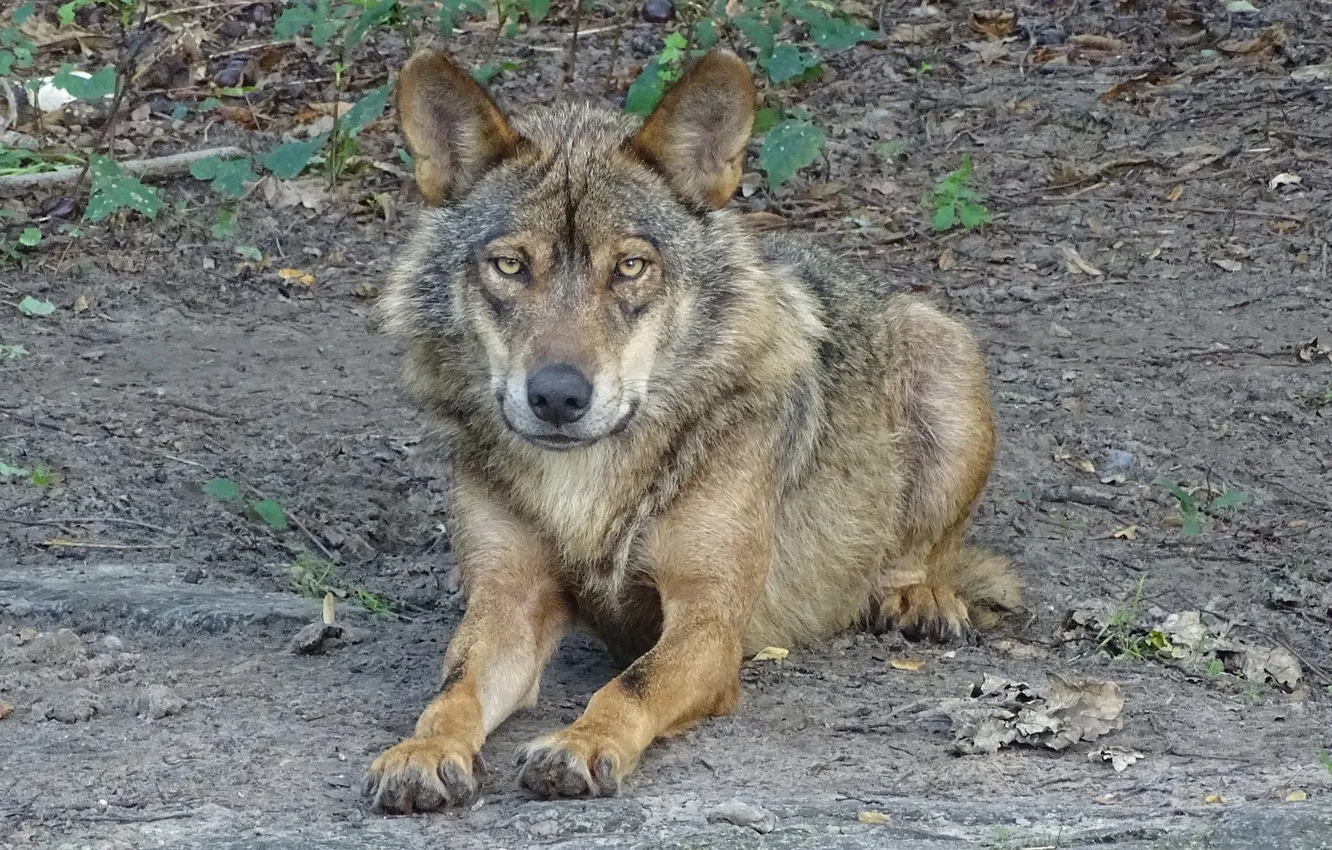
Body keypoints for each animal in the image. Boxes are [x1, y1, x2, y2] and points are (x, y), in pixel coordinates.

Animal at [364, 46, 1020, 812]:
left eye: (630, 267)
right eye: (510, 265)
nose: (557, 396)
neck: (587, 484)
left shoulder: (709, 620)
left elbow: (631, 685)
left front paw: (580, 744)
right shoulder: (506, 603)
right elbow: (454, 689)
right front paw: (423, 751)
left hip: (944, 349)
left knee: (921, 552)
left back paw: (915, 596)